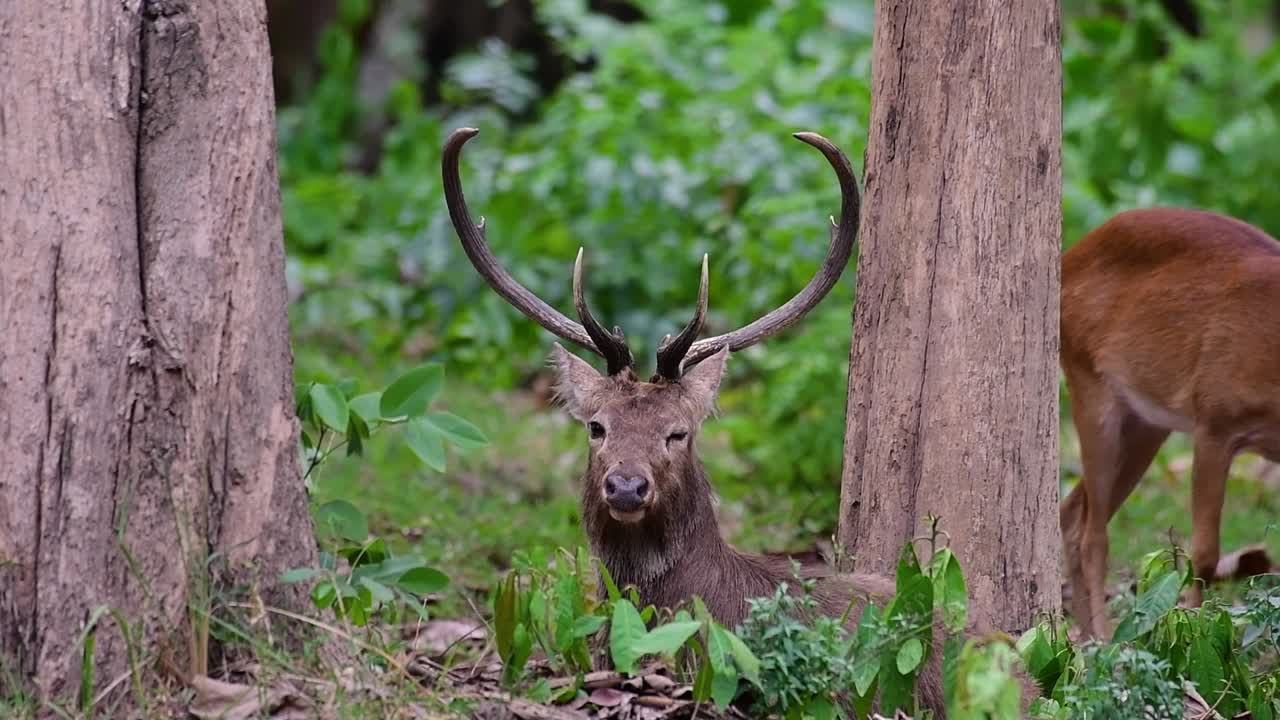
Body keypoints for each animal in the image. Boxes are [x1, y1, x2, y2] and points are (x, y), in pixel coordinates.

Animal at [1060, 207, 1280, 640]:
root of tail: (1066, 260)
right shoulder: (1215, 423)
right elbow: (1205, 554)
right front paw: (1197, 637)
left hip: (1146, 422)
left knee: (1071, 511)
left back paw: (1086, 637)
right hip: (1089, 382)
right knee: (1092, 534)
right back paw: (1104, 641)